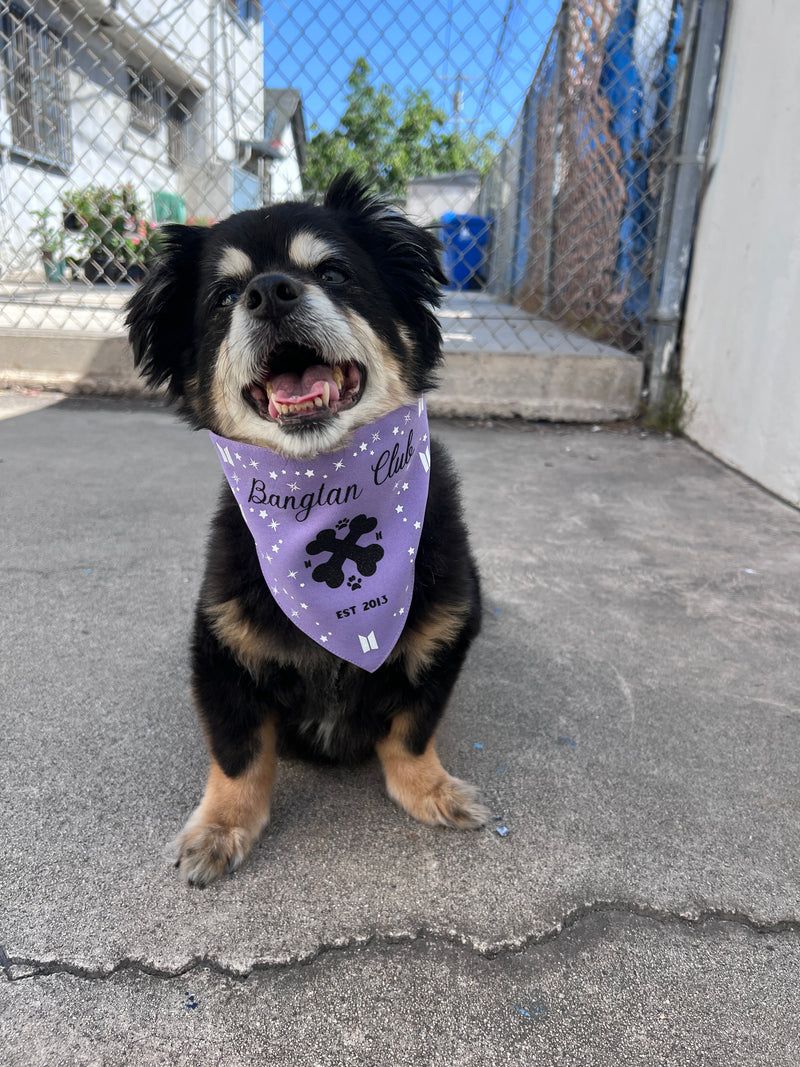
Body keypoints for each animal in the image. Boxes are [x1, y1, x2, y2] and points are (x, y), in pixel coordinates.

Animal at [125, 174, 488, 887]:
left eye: (333, 272)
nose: (270, 291)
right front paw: (221, 828)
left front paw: (429, 790)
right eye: (225, 296)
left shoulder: (447, 636)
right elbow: (238, 755)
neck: (325, 496)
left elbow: (412, 731)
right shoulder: (220, 654)